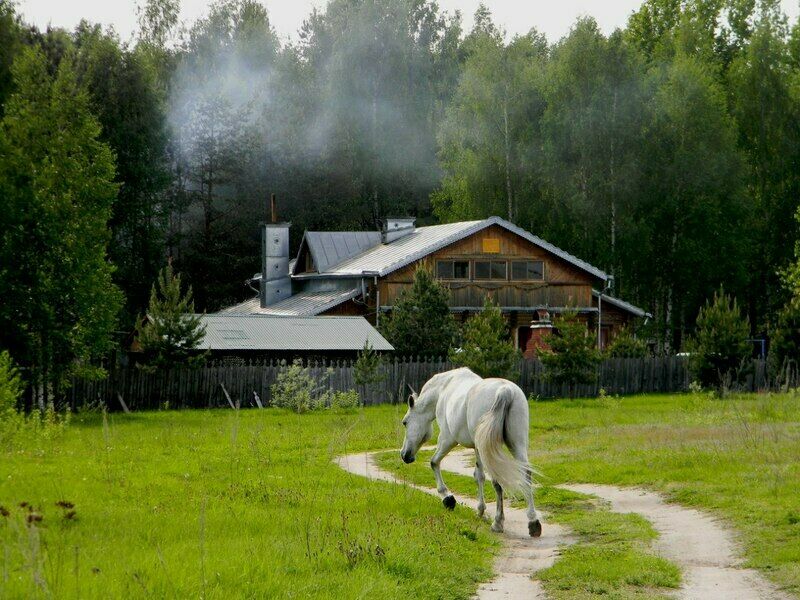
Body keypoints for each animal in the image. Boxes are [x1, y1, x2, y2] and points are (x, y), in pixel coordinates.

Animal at [400, 368, 544, 536]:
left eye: (405, 422)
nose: (404, 455)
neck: (443, 388)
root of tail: (505, 390)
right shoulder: (477, 447)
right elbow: (478, 476)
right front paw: (479, 510)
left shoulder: (447, 439)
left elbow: (434, 462)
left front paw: (448, 499)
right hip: (517, 445)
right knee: (526, 474)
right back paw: (533, 522)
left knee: (497, 481)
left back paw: (498, 523)